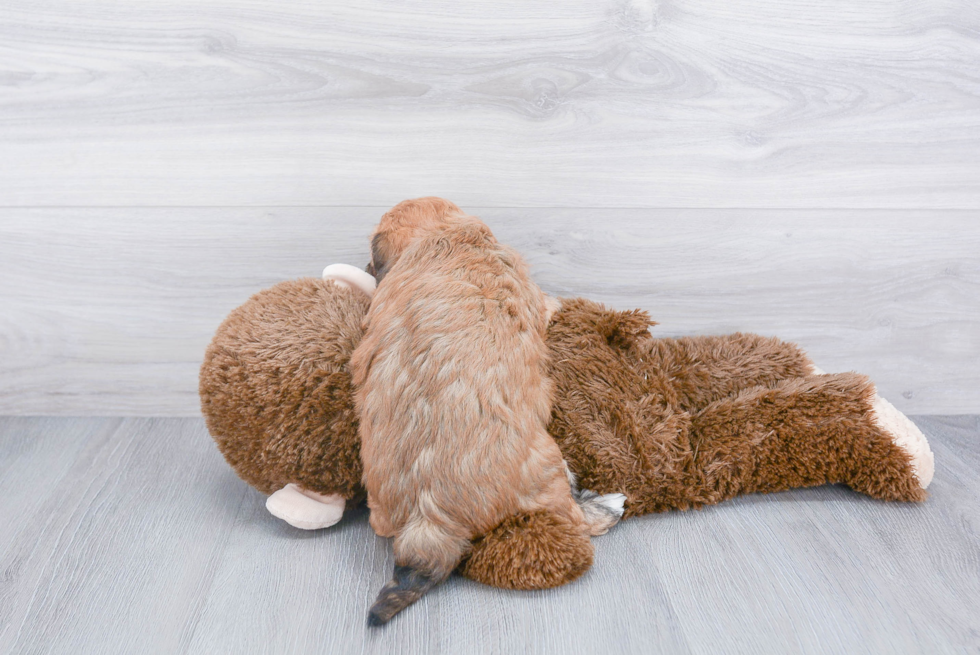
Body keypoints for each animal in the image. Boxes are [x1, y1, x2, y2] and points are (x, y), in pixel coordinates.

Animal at [352, 199, 620, 624]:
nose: (365, 268)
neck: (445, 236)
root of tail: (429, 519)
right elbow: (548, 303)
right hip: (548, 465)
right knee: (572, 518)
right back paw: (604, 508)